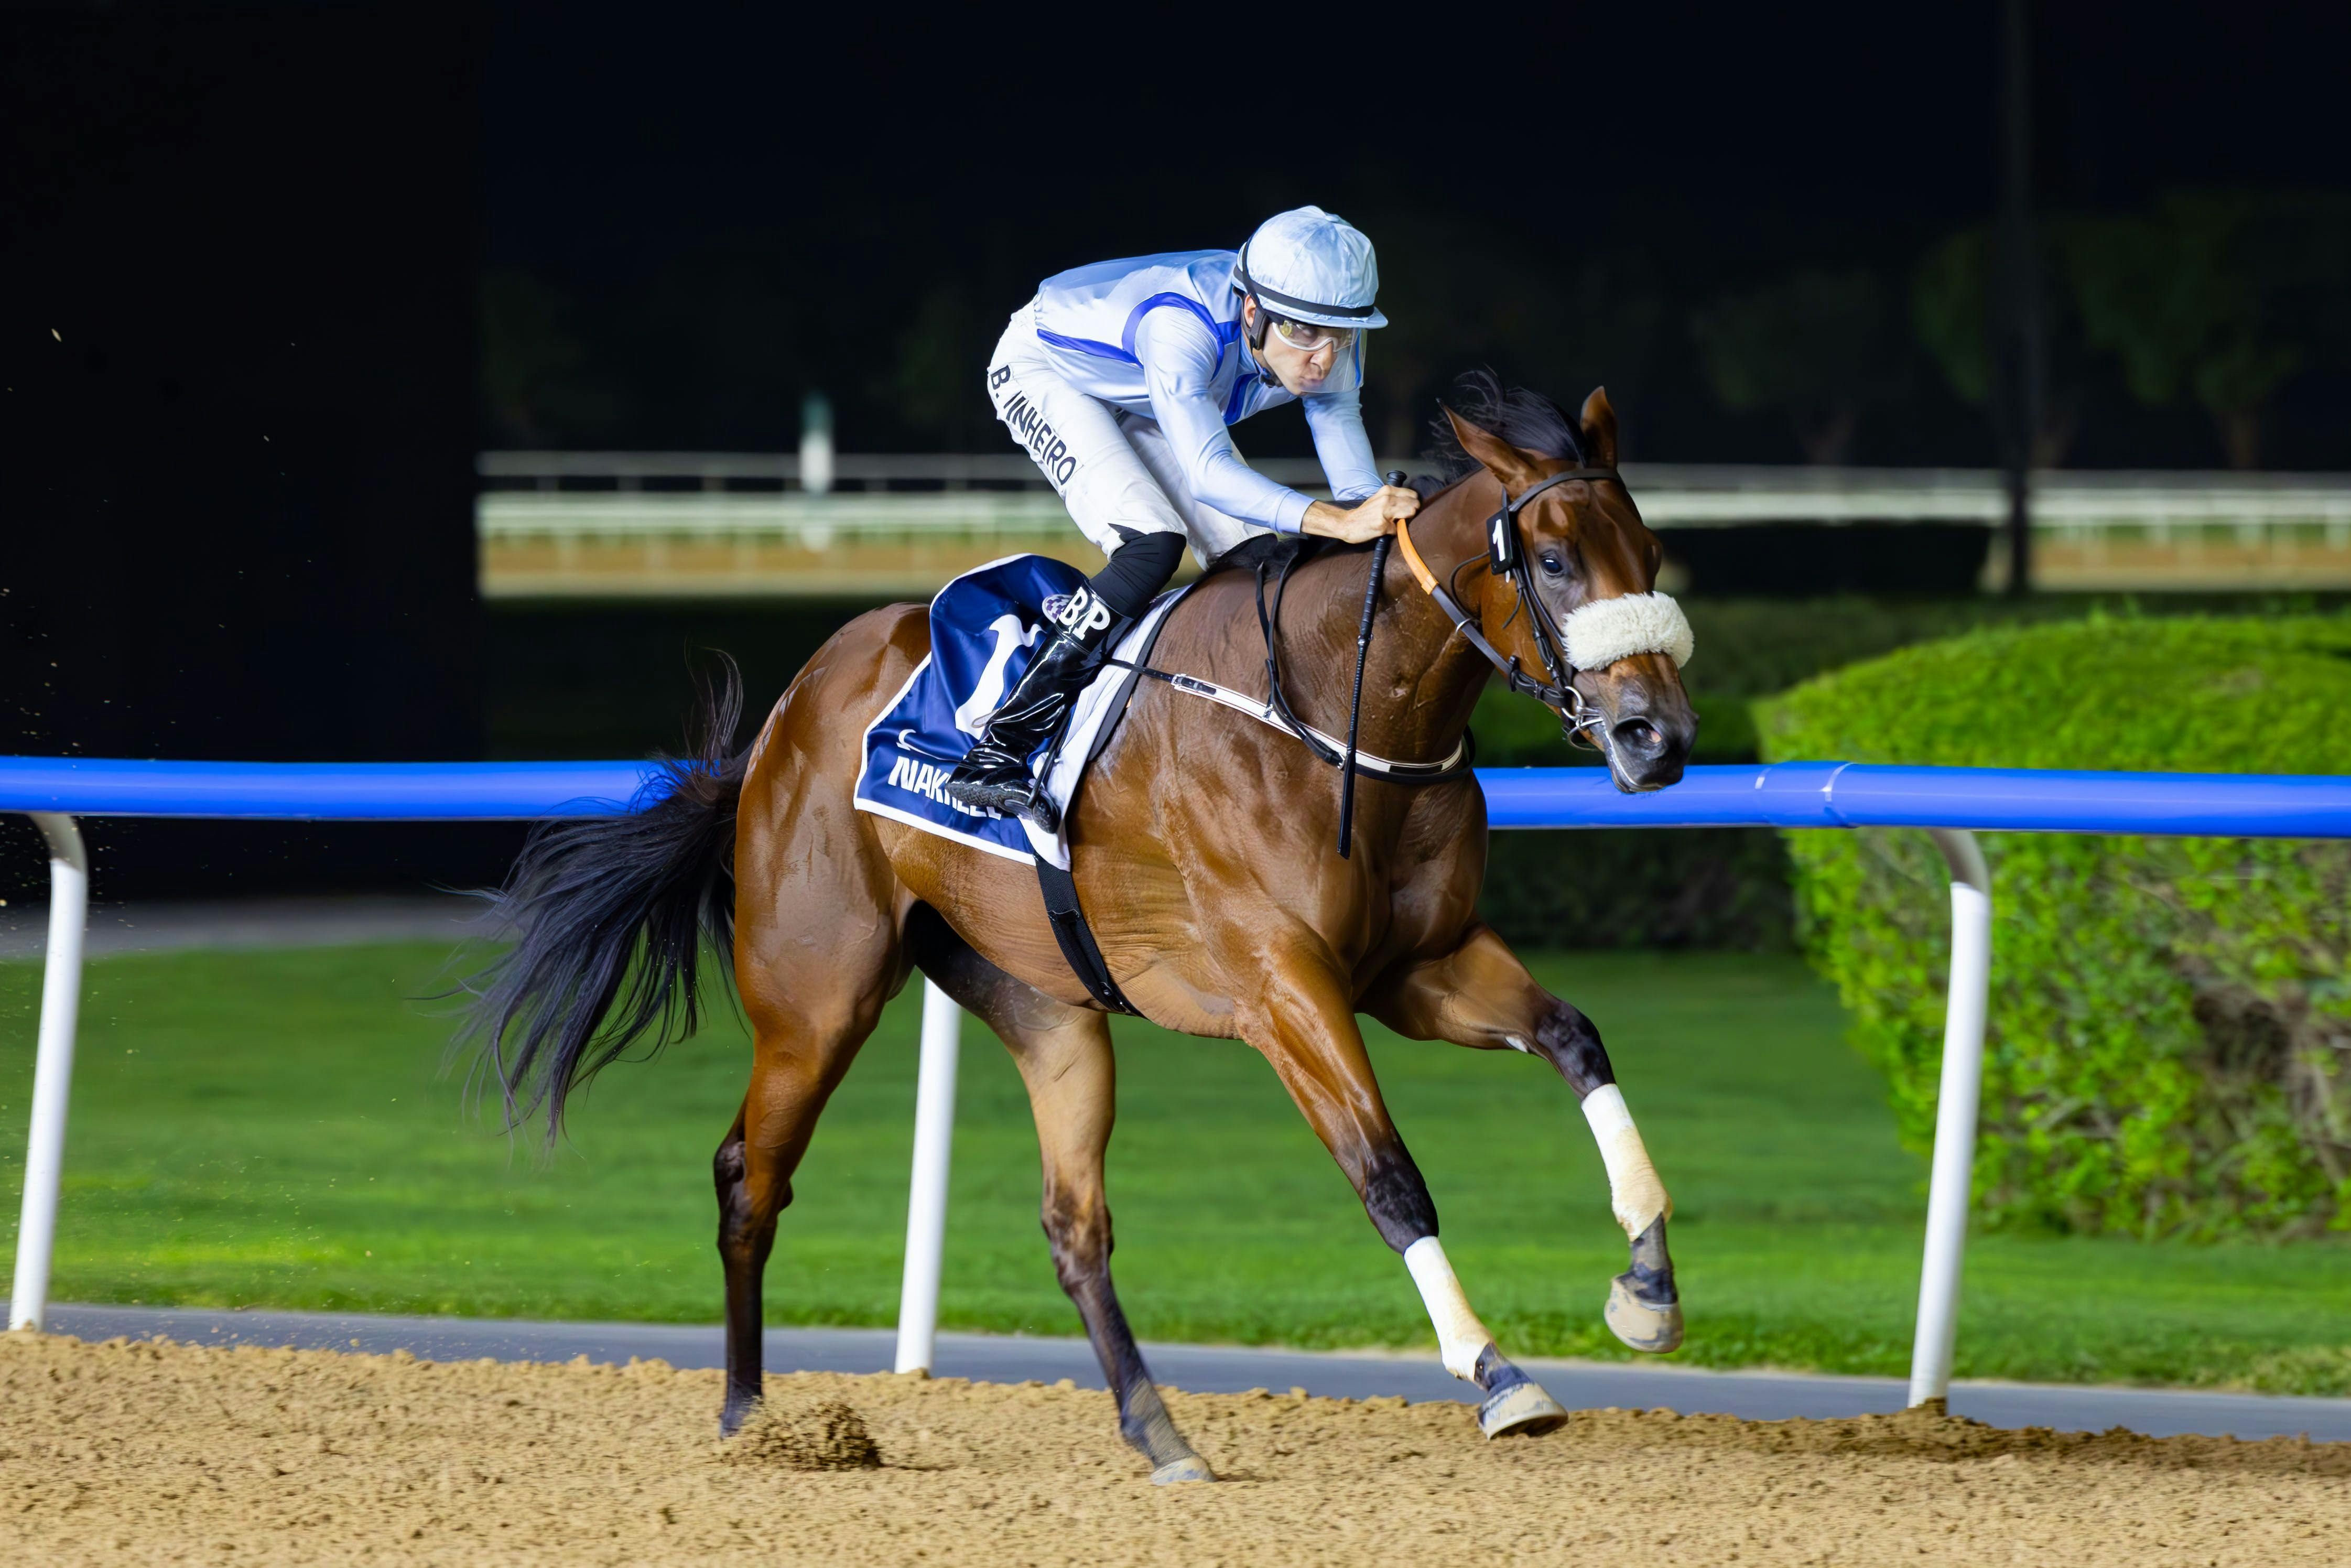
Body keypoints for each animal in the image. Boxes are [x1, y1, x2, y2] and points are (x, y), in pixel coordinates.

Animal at [458, 376, 1702, 1486]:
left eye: (1648, 552)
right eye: (1553, 560)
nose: (1658, 736)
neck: (1330, 712)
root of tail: (778, 723)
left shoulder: (1418, 965)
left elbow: (1575, 1037)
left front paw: (1645, 1289)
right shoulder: (1283, 988)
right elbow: (1387, 1174)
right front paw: (1497, 1372)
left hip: (1046, 1008)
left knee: (1073, 1223)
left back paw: (1160, 1433)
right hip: (817, 997)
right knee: (747, 1178)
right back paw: (750, 1418)